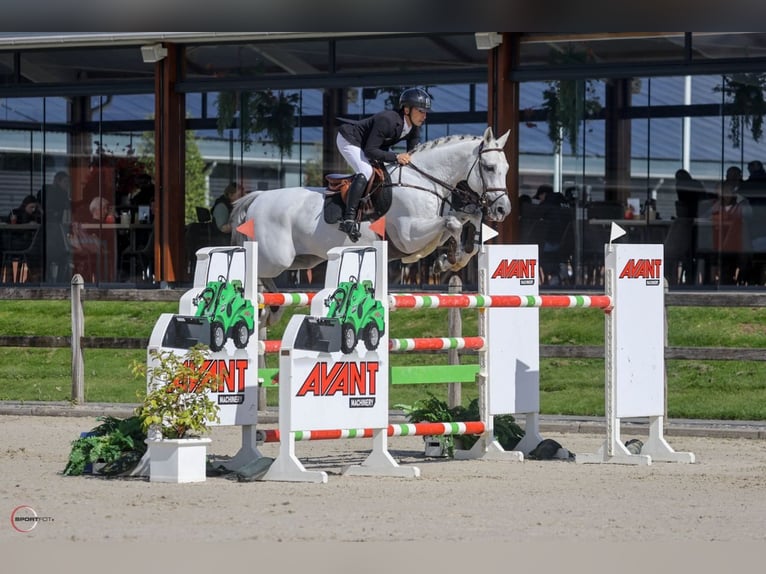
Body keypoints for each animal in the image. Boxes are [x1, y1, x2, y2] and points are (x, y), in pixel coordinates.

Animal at [230, 127, 511, 284]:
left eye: (507, 168)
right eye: (489, 167)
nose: (502, 210)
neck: (423, 179)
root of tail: (258, 198)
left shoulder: (431, 231)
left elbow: (466, 220)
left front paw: (449, 261)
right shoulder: (409, 236)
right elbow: (453, 223)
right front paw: (448, 259)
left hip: (302, 260)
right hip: (275, 259)